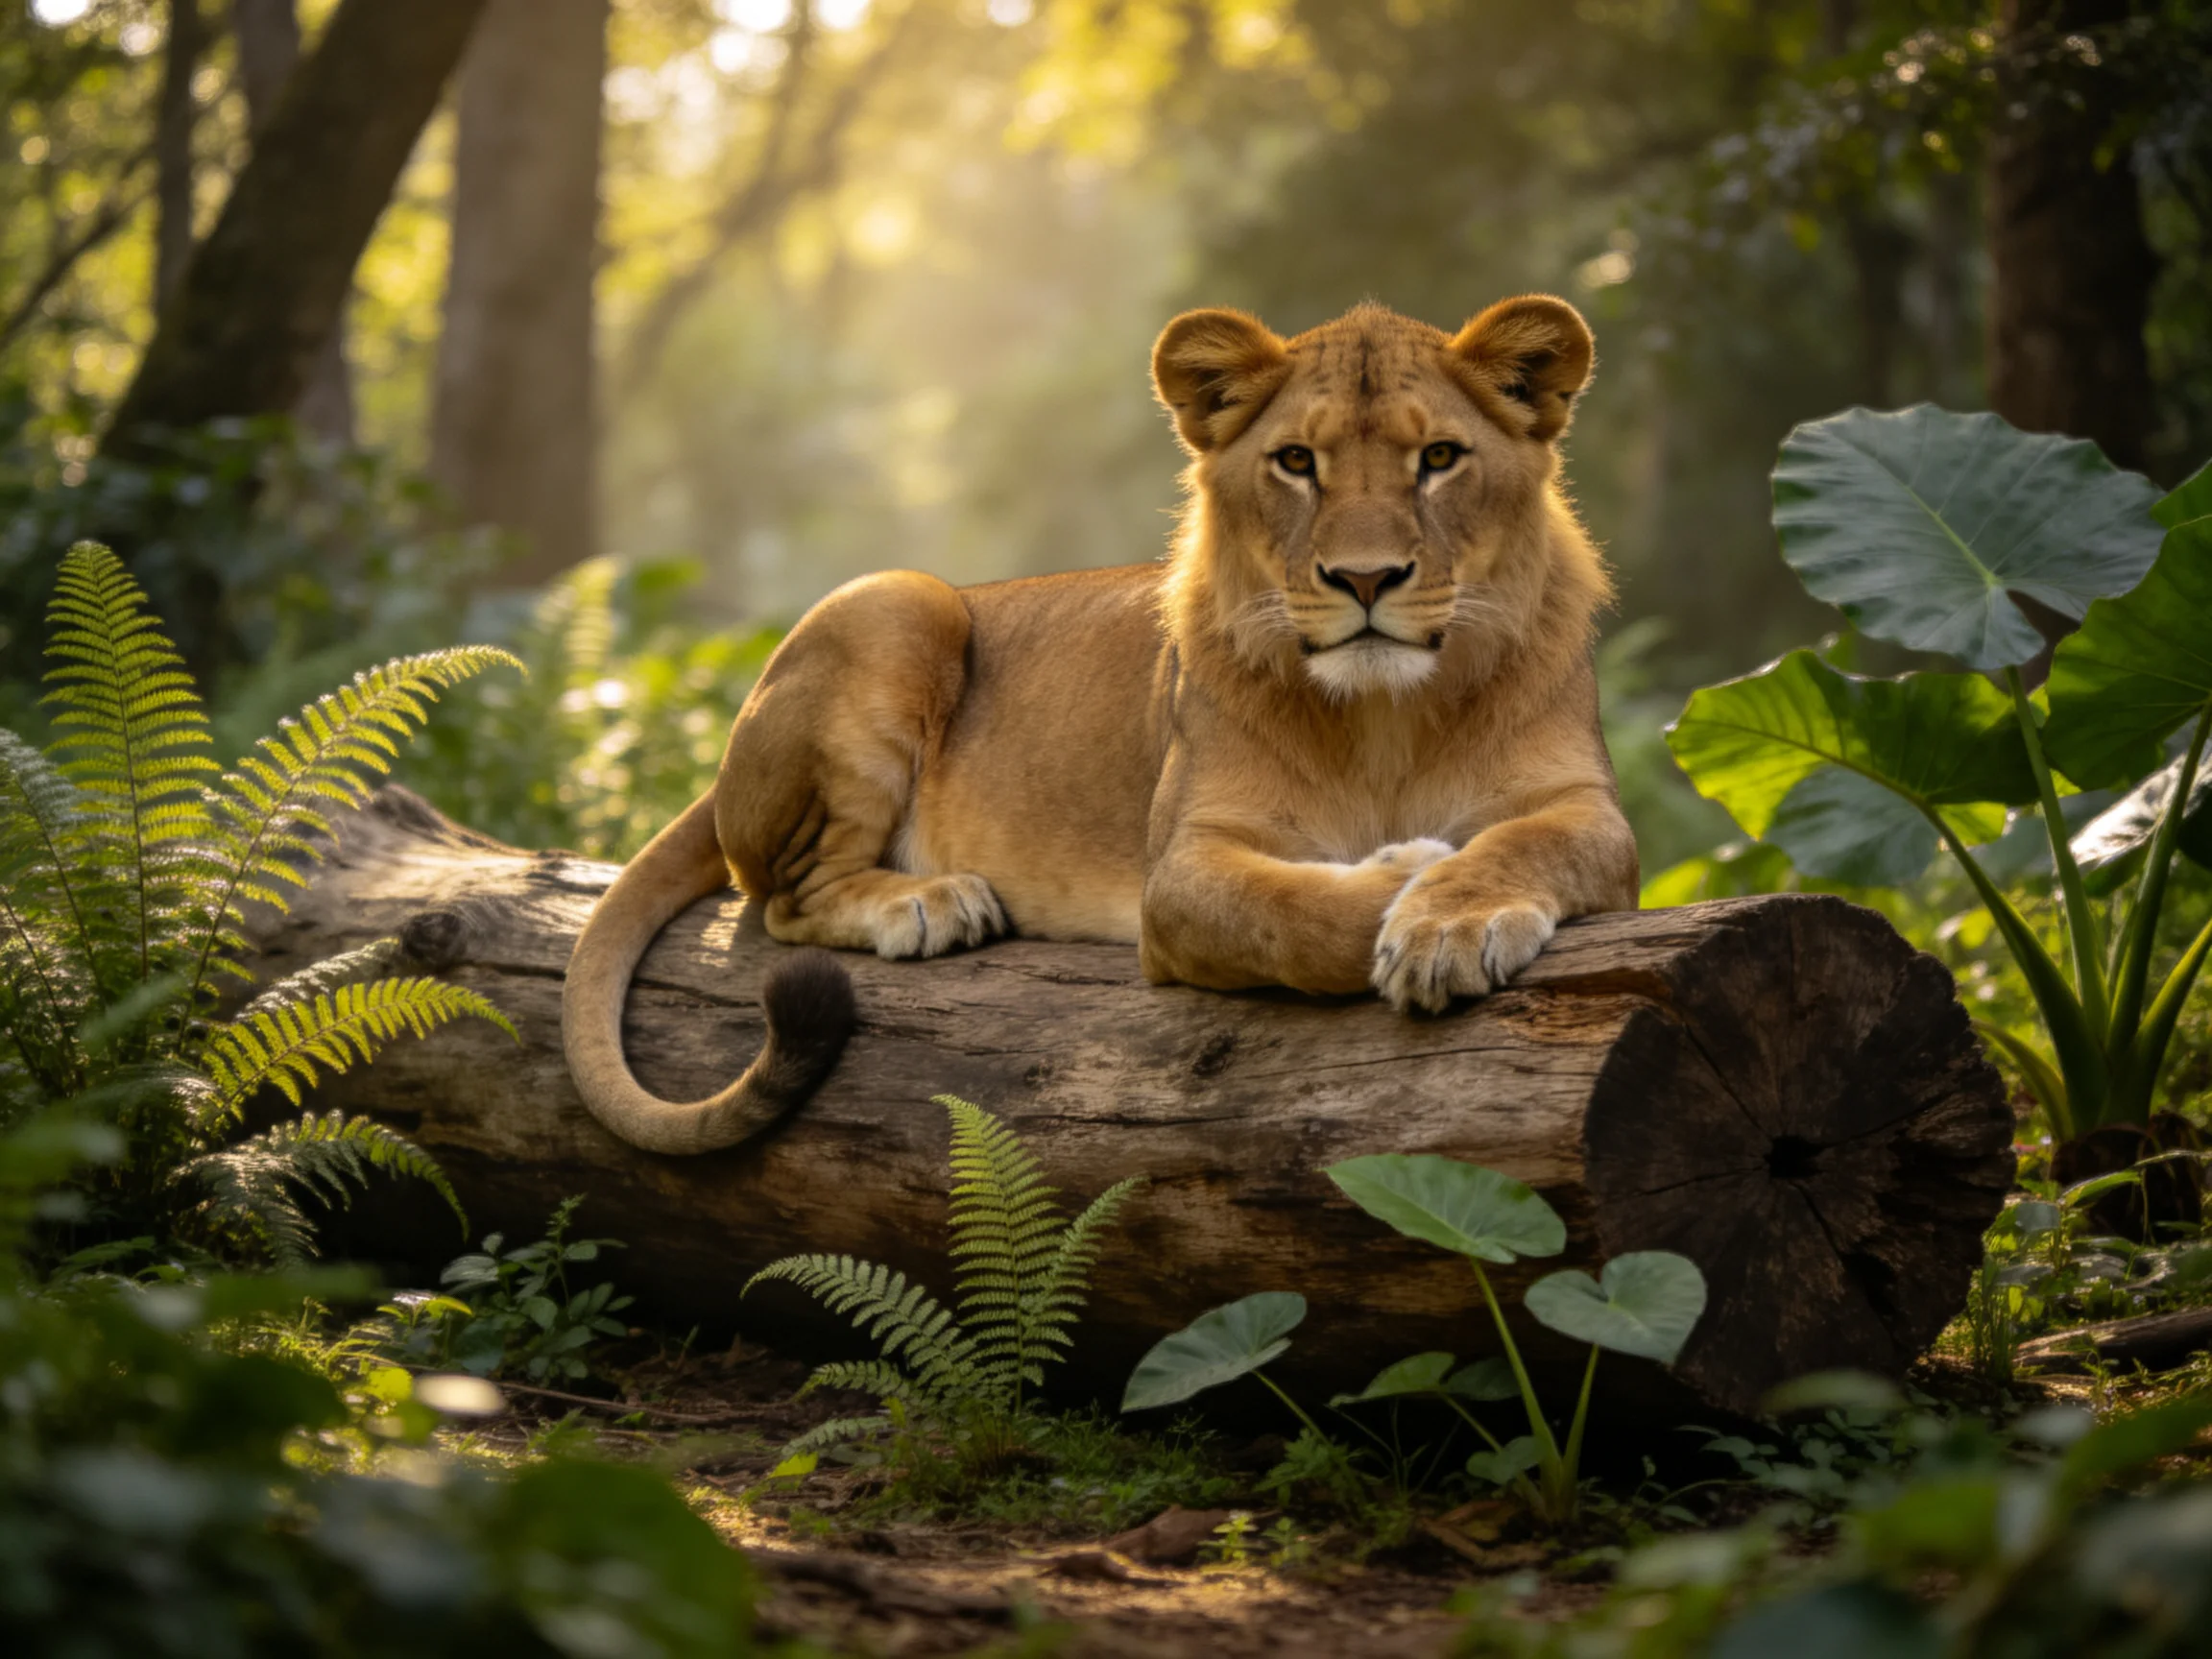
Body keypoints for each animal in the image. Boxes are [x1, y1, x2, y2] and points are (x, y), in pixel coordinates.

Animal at [562, 294, 1639, 1154]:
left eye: (1440, 459)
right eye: (1297, 462)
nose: (1365, 579)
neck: (1385, 717)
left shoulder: (1589, 812)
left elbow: (1527, 845)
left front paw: (1454, 919)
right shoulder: (1183, 870)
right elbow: (1291, 911)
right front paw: (1410, 884)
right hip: (899, 598)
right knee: (782, 902)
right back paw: (932, 904)